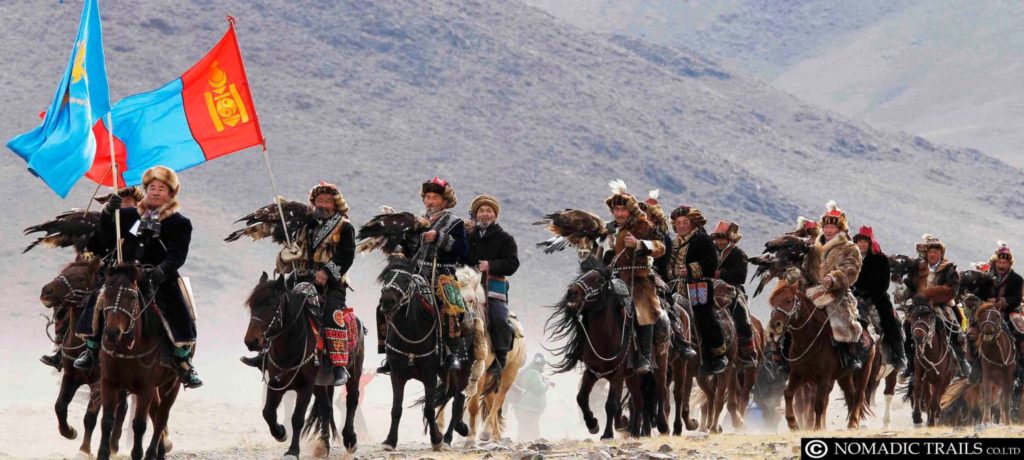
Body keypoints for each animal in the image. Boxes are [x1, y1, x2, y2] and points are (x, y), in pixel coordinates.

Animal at [39, 258, 129, 454]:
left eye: (81, 278)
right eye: (63, 272)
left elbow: (90, 417)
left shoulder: (98, 385)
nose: (46, 291)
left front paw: (85, 450)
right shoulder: (70, 377)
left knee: (124, 409)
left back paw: (115, 445)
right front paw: (69, 431)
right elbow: (60, 406)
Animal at [95, 262, 179, 458]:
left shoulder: (145, 388)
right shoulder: (108, 382)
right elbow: (107, 420)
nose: (112, 332)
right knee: (156, 414)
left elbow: (139, 424)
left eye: (132, 297)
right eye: (106, 293)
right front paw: (103, 453)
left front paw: (138, 454)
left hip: (172, 384)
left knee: (161, 417)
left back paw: (152, 452)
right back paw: (161, 450)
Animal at [244, 272, 360, 454]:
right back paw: (324, 446)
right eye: (252, 305)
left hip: (354, 373)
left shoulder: (306, 386)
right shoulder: (276, 383)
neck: (292, 344)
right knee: (326, 408)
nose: (251, 342)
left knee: (352, 400)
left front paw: (292, 451)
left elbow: (297, 418)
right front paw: (280, 433)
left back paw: (350, 440)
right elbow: (268, 412)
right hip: (320, 384)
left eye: (272, 305)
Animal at [770, 278, 872, 430]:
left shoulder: (824, 378)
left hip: (864, 371)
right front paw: (792, 422)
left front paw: (817, 428)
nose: (774, 324)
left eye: (788, 300)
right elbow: (788, 393)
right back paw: (851, 423)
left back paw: (853, 423)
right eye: (773, 302)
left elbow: (818, 403)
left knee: (859, 396)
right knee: (851, 395)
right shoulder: (798, 374)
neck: (811, 339)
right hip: (844, 376)